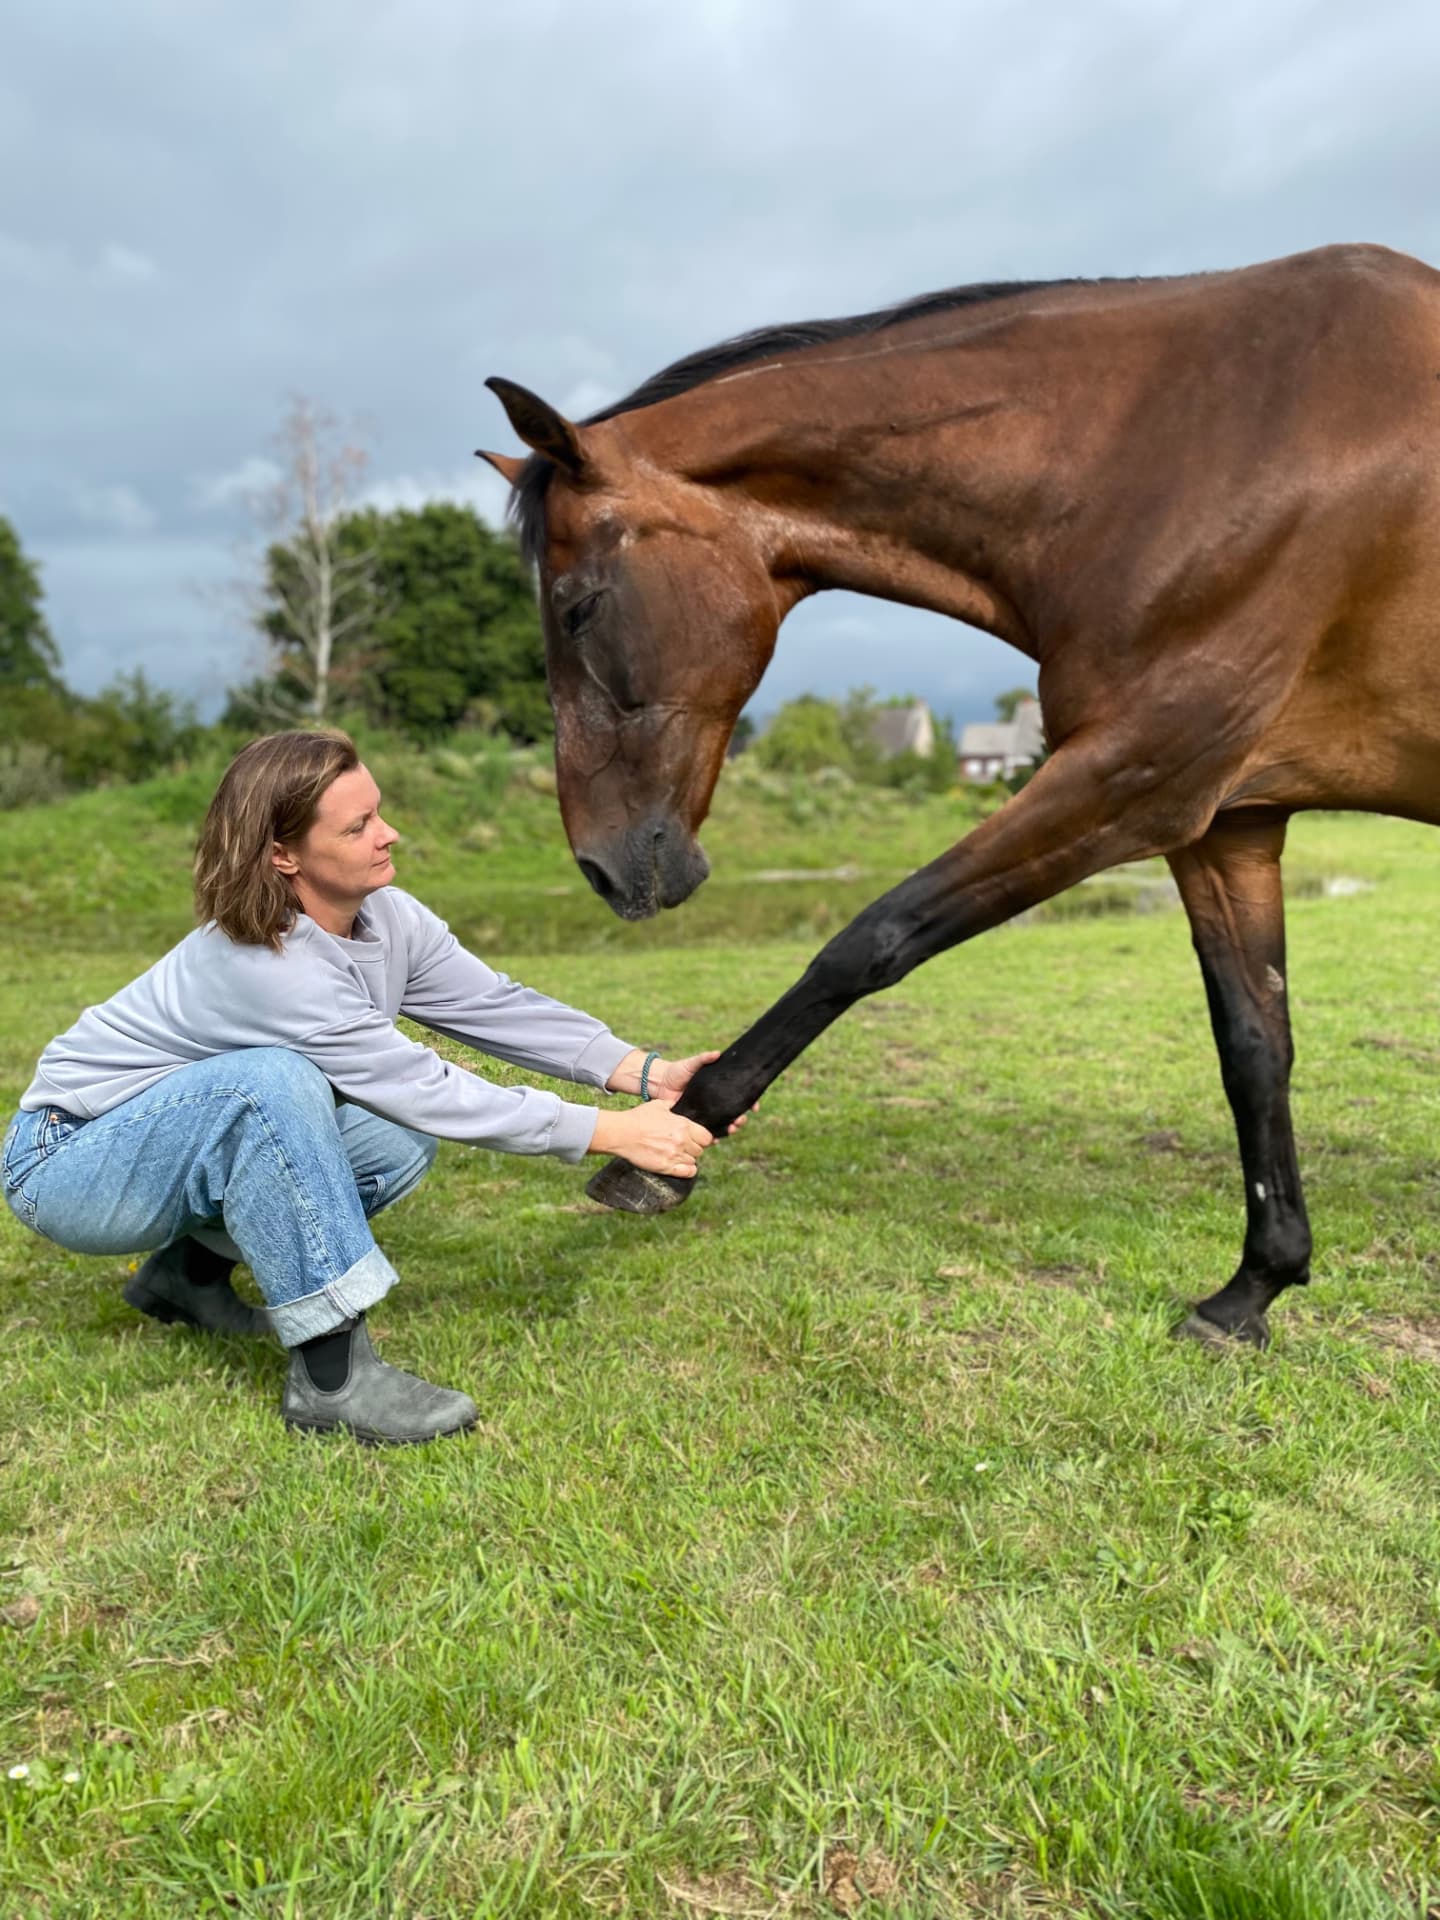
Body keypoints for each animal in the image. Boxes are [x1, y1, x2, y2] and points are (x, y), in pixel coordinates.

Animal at [477, 242, 1440, 1350]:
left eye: (577, 607)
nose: (602, 865)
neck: (1191, 444)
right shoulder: (1224, 823)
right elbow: (1253, 1043)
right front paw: (1253, 1287)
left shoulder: (1134, 776)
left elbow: (872, 940)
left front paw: (666, 1146)